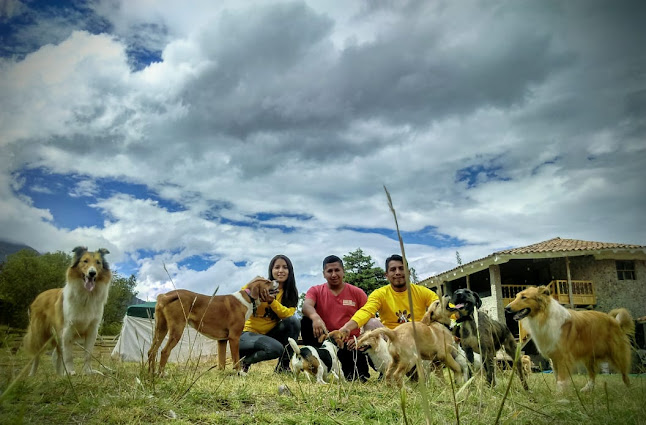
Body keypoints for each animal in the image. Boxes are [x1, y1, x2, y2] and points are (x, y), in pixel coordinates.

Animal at [23, 245, 112, 374]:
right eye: (85, 261)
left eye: (98, 262)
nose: (92, 273)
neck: (86, 296)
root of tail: (39, 296)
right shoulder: (68, 329)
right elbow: (69, 356)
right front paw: (70, 372)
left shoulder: (92, 330)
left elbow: (88, 354)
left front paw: (87, 372)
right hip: (40, 334)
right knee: (37, 355)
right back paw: (32, 374)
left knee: (58, 355)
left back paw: (60, 374)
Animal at [506, 284, 636, 390]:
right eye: (517, 296)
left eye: (524, 297)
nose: (506, 308)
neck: (544, 315)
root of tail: (615, 321)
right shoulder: (554, 357)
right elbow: (557, 378)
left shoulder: (563, 357)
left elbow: (561, 380)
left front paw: (560, 397)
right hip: (589, 355)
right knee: (592, 374)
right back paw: (587, 389)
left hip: (616, 354)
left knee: (624, 374)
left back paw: (629, 389)